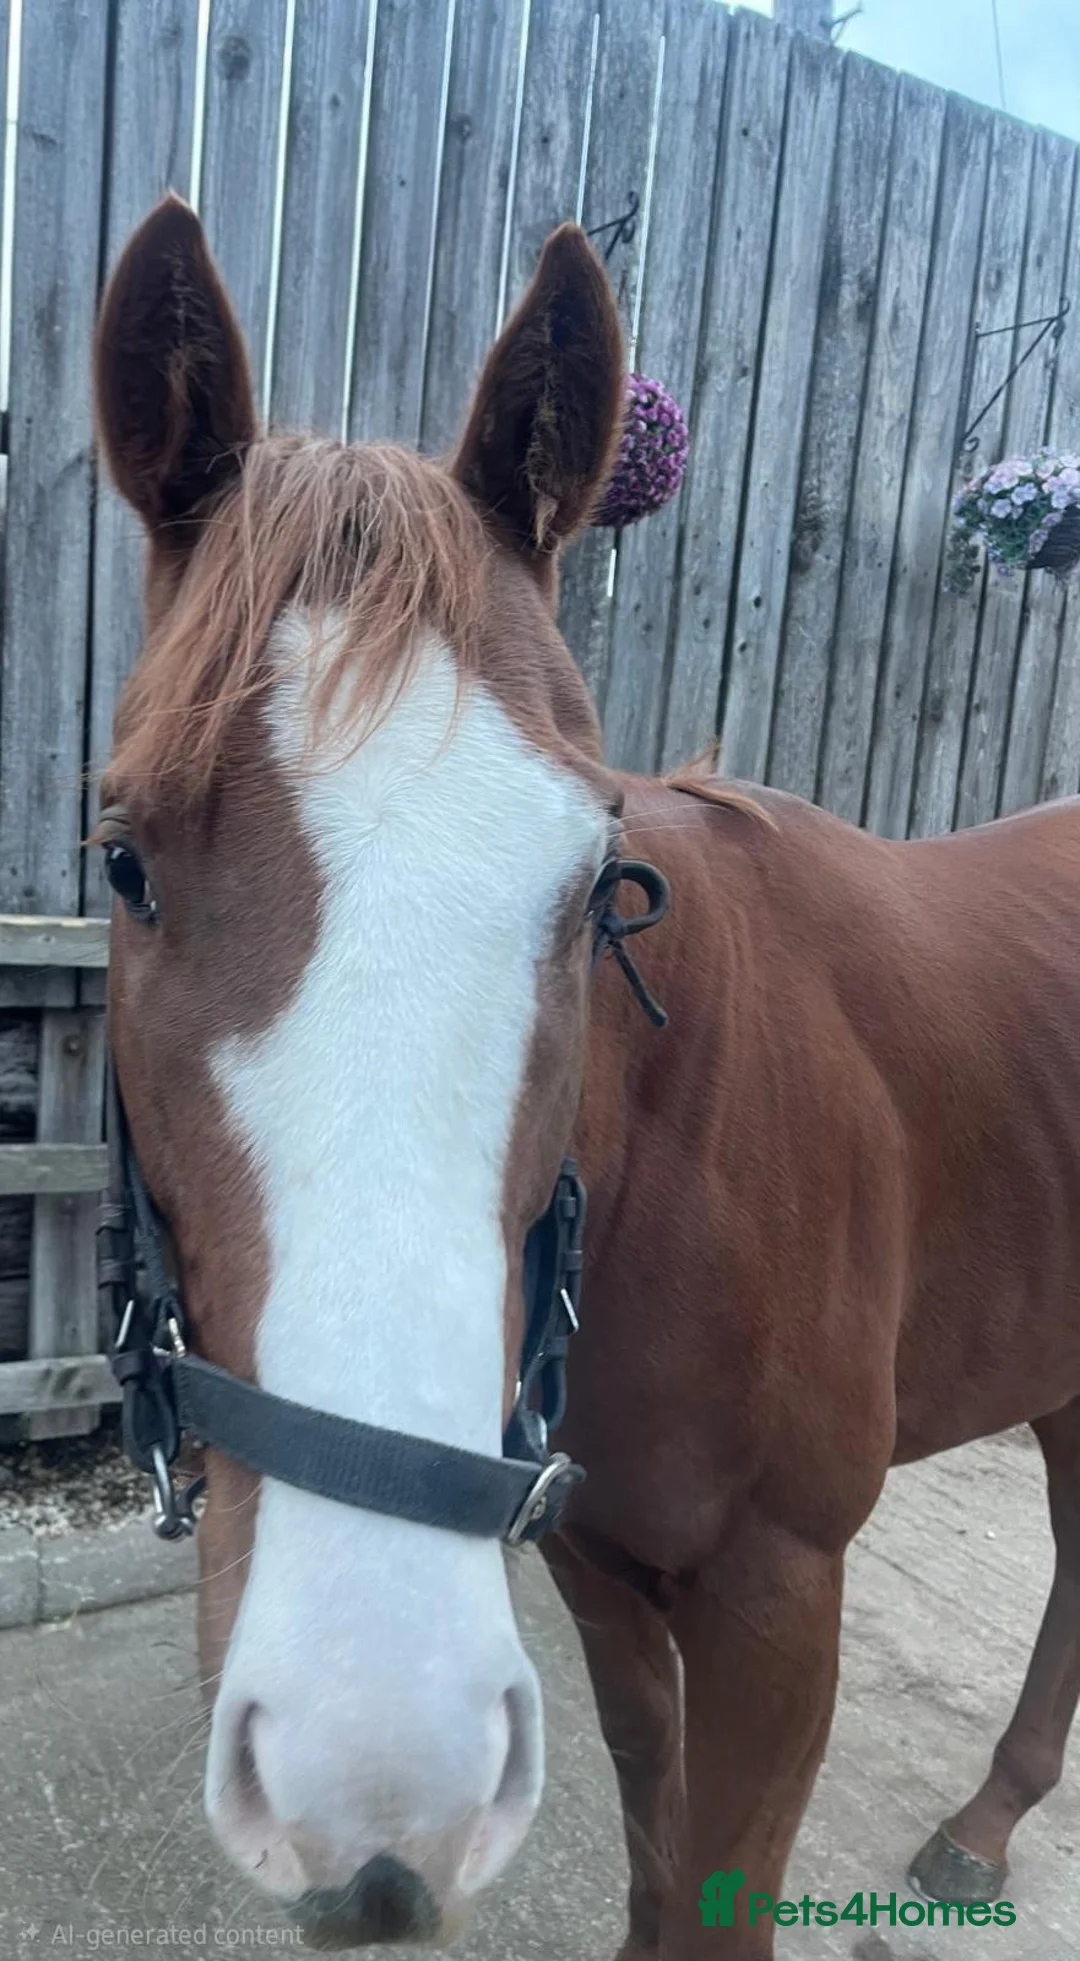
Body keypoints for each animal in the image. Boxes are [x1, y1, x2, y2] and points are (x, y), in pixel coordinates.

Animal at [92, 194, 1080, 1957]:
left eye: (592, 883)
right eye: (126, 861)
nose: (373, 1762)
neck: (668, 1181)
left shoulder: (780, 1604)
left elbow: (722, 1885)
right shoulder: (605, 1573)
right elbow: (652, 1836)